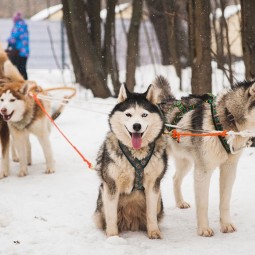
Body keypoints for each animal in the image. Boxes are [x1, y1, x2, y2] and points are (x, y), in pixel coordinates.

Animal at [93, 84, 167, 239]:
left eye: (144, 115)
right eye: (128, 115)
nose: (136, 126)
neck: (137, 155)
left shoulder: (153, 184)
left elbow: (151, 214)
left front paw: (153, 232)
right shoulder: (111, 185)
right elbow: (111, 216)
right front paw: (113, 237)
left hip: (159, 200)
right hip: (101, 199)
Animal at [154, 75, 255, 237]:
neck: (228, 117)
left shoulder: (229, 168)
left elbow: (225, 201)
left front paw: (226, 224)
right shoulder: (203, 170)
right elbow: (203, 203)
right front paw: (203, 229)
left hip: (186, 162)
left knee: (175, 178)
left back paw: (180, 202)